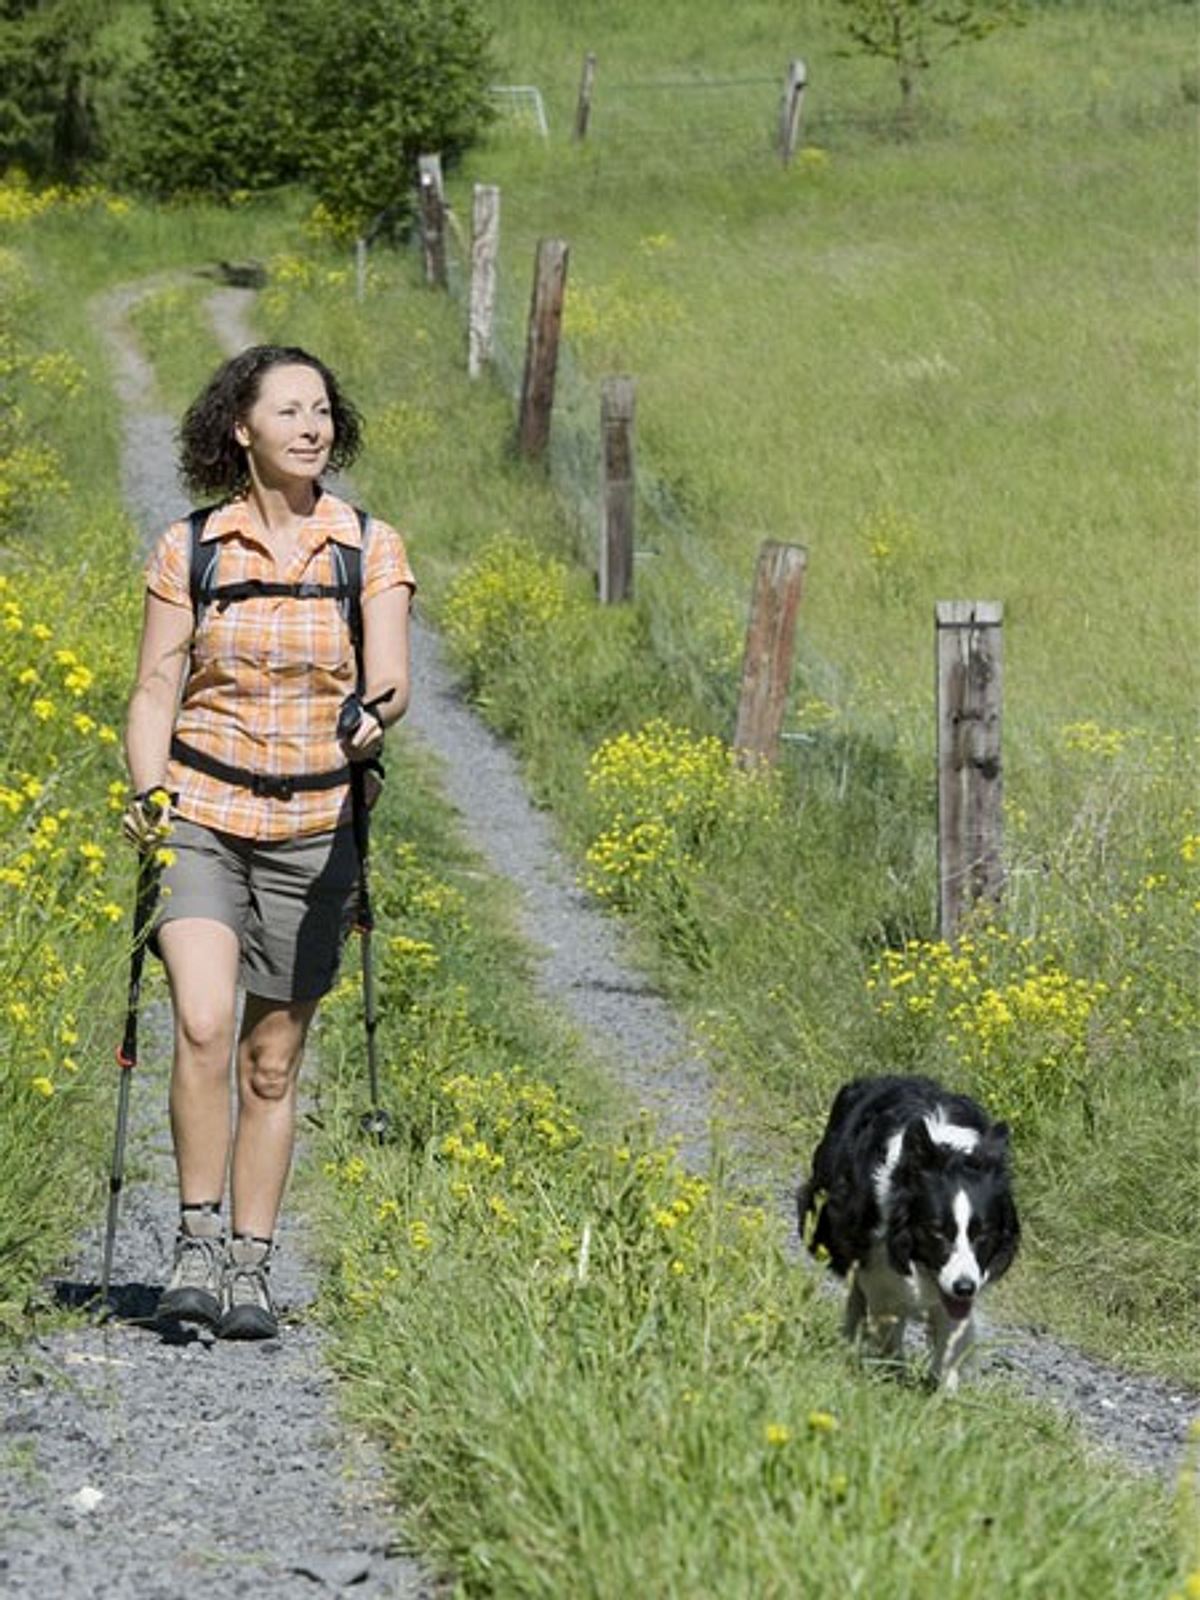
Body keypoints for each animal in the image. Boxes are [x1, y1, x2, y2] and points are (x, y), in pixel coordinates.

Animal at [803, 1081, 1017, 1395]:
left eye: (983, 1235)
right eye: (937, 1231)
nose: (965, 1288)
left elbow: (950, 1337)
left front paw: (943, 1393)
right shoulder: (881, 1270)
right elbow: (889, 1318)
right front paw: (894, 1376)